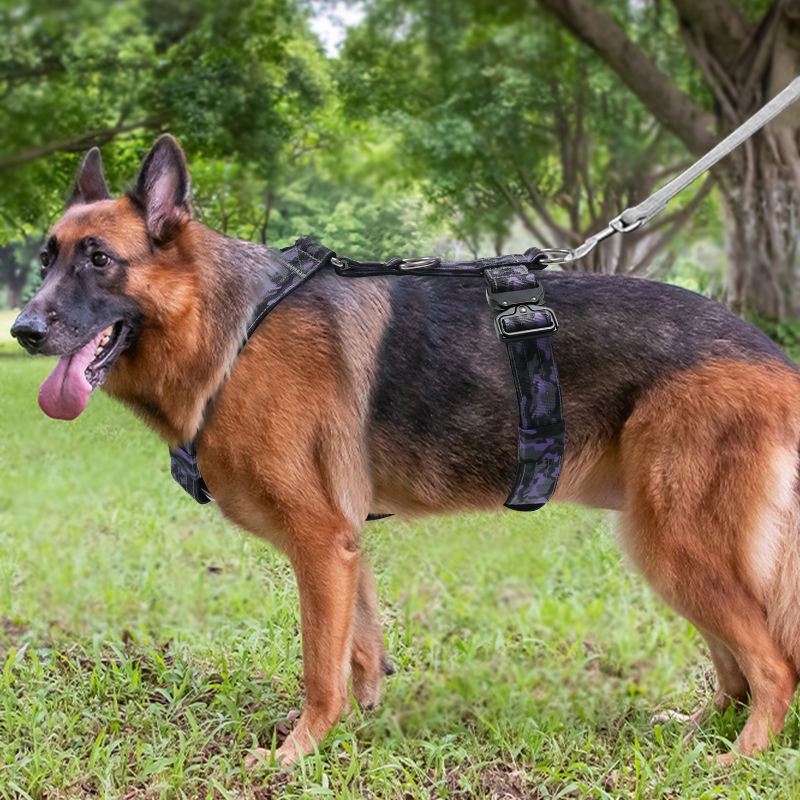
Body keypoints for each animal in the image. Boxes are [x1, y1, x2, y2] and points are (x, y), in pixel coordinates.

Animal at [12, 135, 800, 766]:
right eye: (46, 260)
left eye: (99, 260)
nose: (21, 329)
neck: (234, 329)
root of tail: (774, 358)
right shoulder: (345, 545)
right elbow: (359, 652)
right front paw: (356, 732)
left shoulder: (319, 542)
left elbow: (318, 666)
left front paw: (294, 755)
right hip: (666, 547)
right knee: (737, 665)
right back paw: (700, 730)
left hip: (677, 545)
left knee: (772, 665)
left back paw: (736, 759)